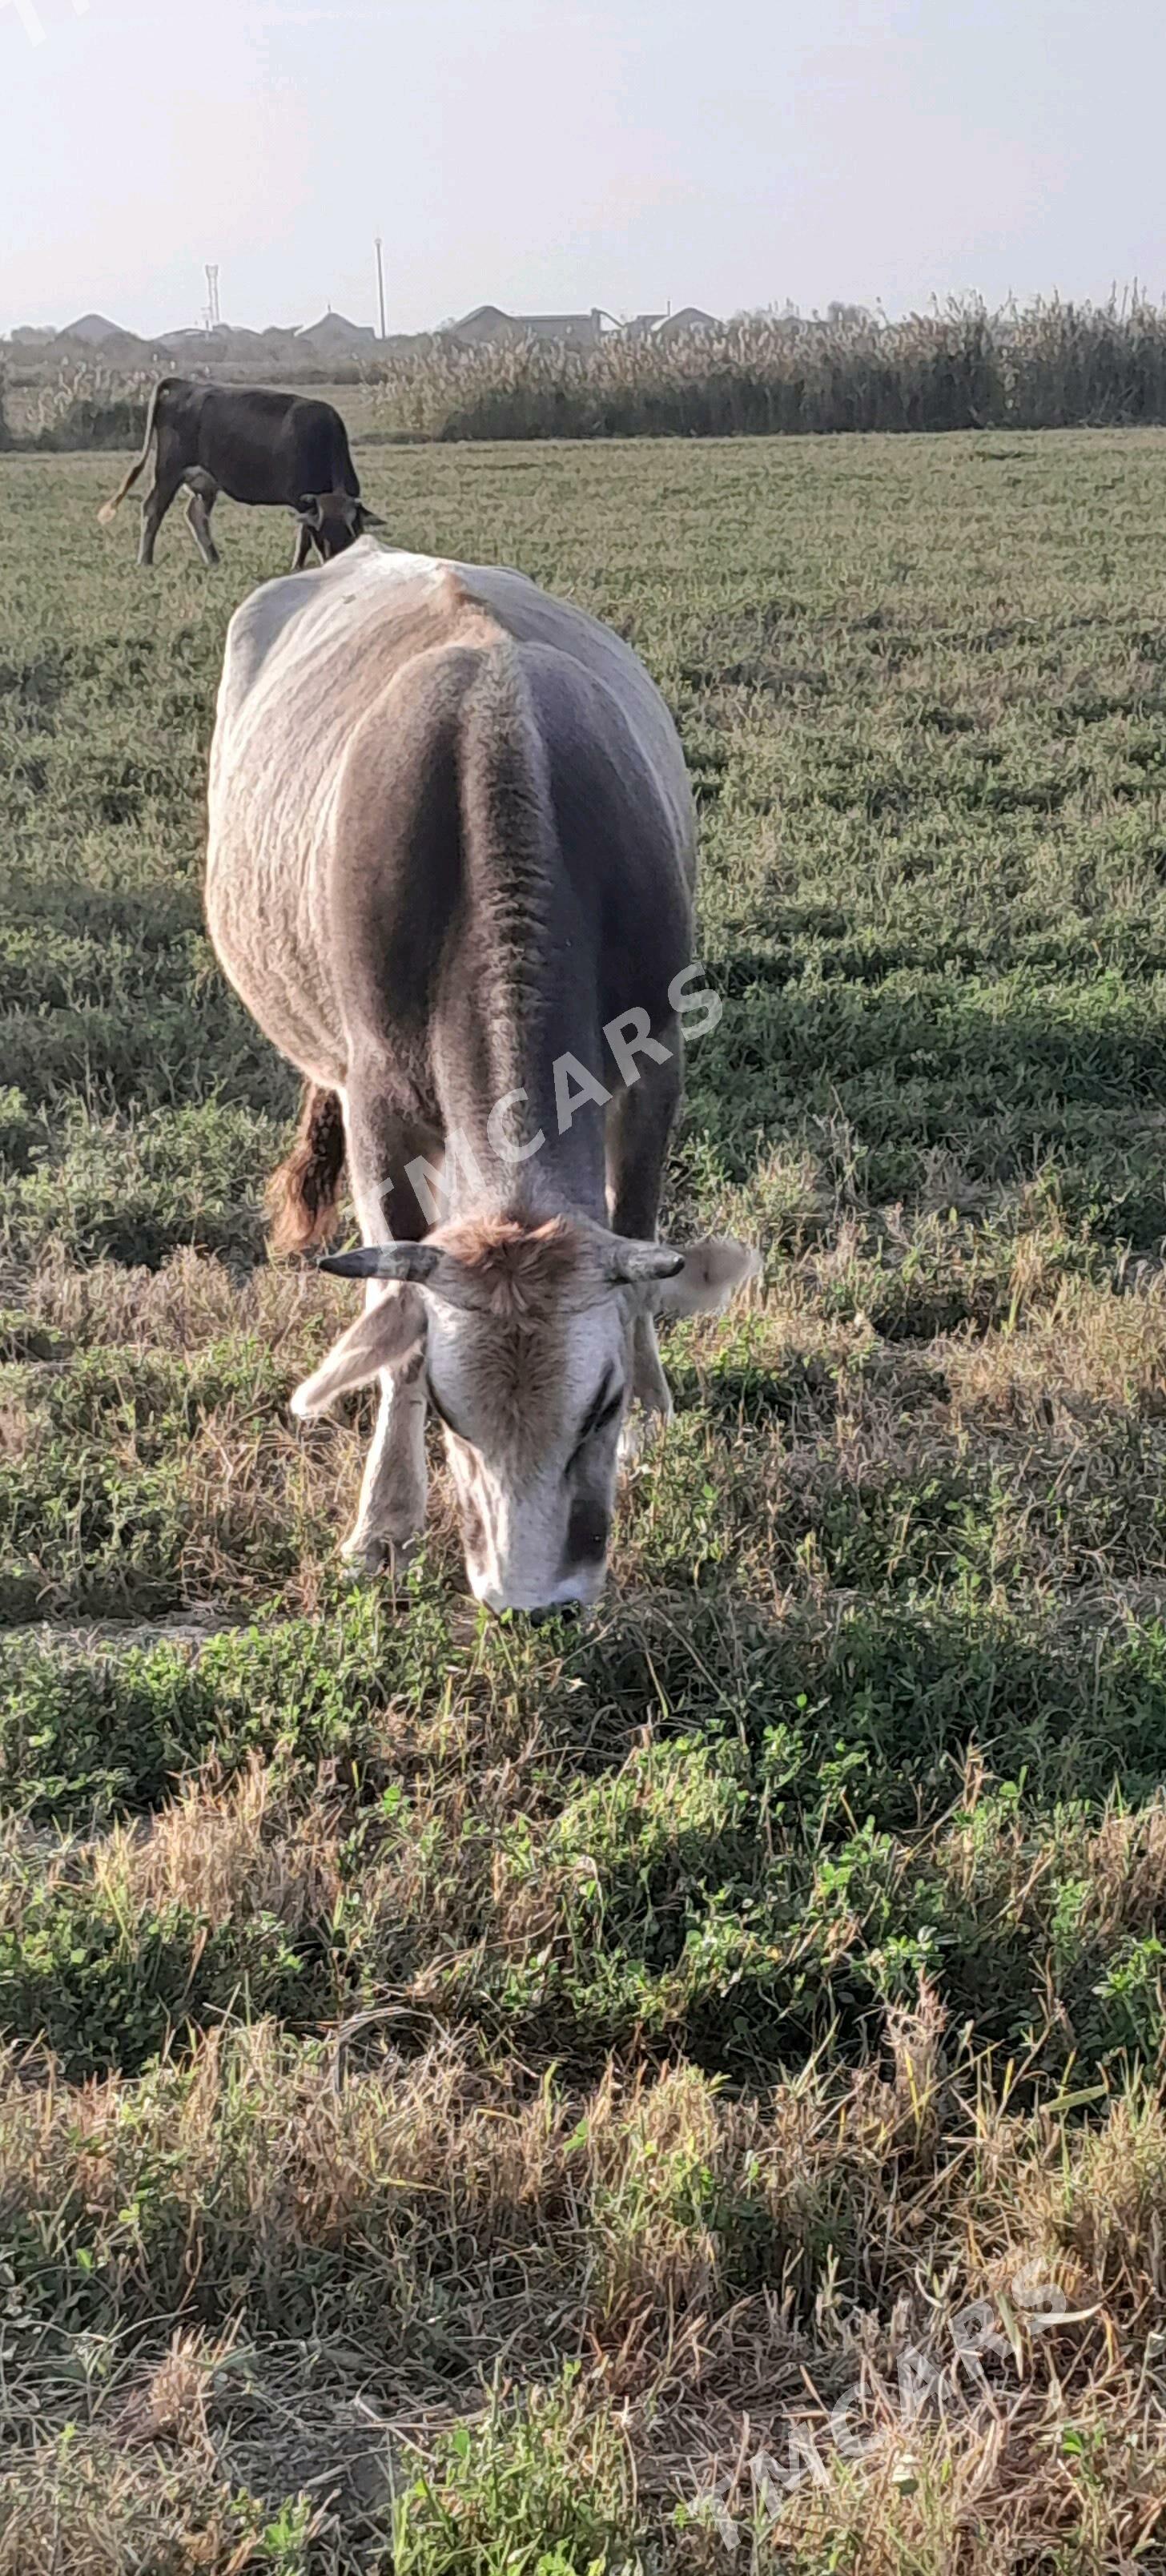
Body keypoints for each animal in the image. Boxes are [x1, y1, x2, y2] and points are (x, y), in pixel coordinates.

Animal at [98, 376, 383, 569]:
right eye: (324, 530)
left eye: (352, 529)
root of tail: (185, 385)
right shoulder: (302, 501)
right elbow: (304, 538)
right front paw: (297, 566)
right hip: (169, 472)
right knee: (153, 509)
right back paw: (145, 560)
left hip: (205, 483)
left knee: (196, 514)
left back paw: (213, 559)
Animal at [207, 543, 756, 1607]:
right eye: (453, 1414)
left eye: (601, 1406)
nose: (533, 1605)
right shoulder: (376, 1104)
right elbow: (396, 1315)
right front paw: (383, 1521)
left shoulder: (658, 1062)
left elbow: (640, 1236)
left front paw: (655, 1418)